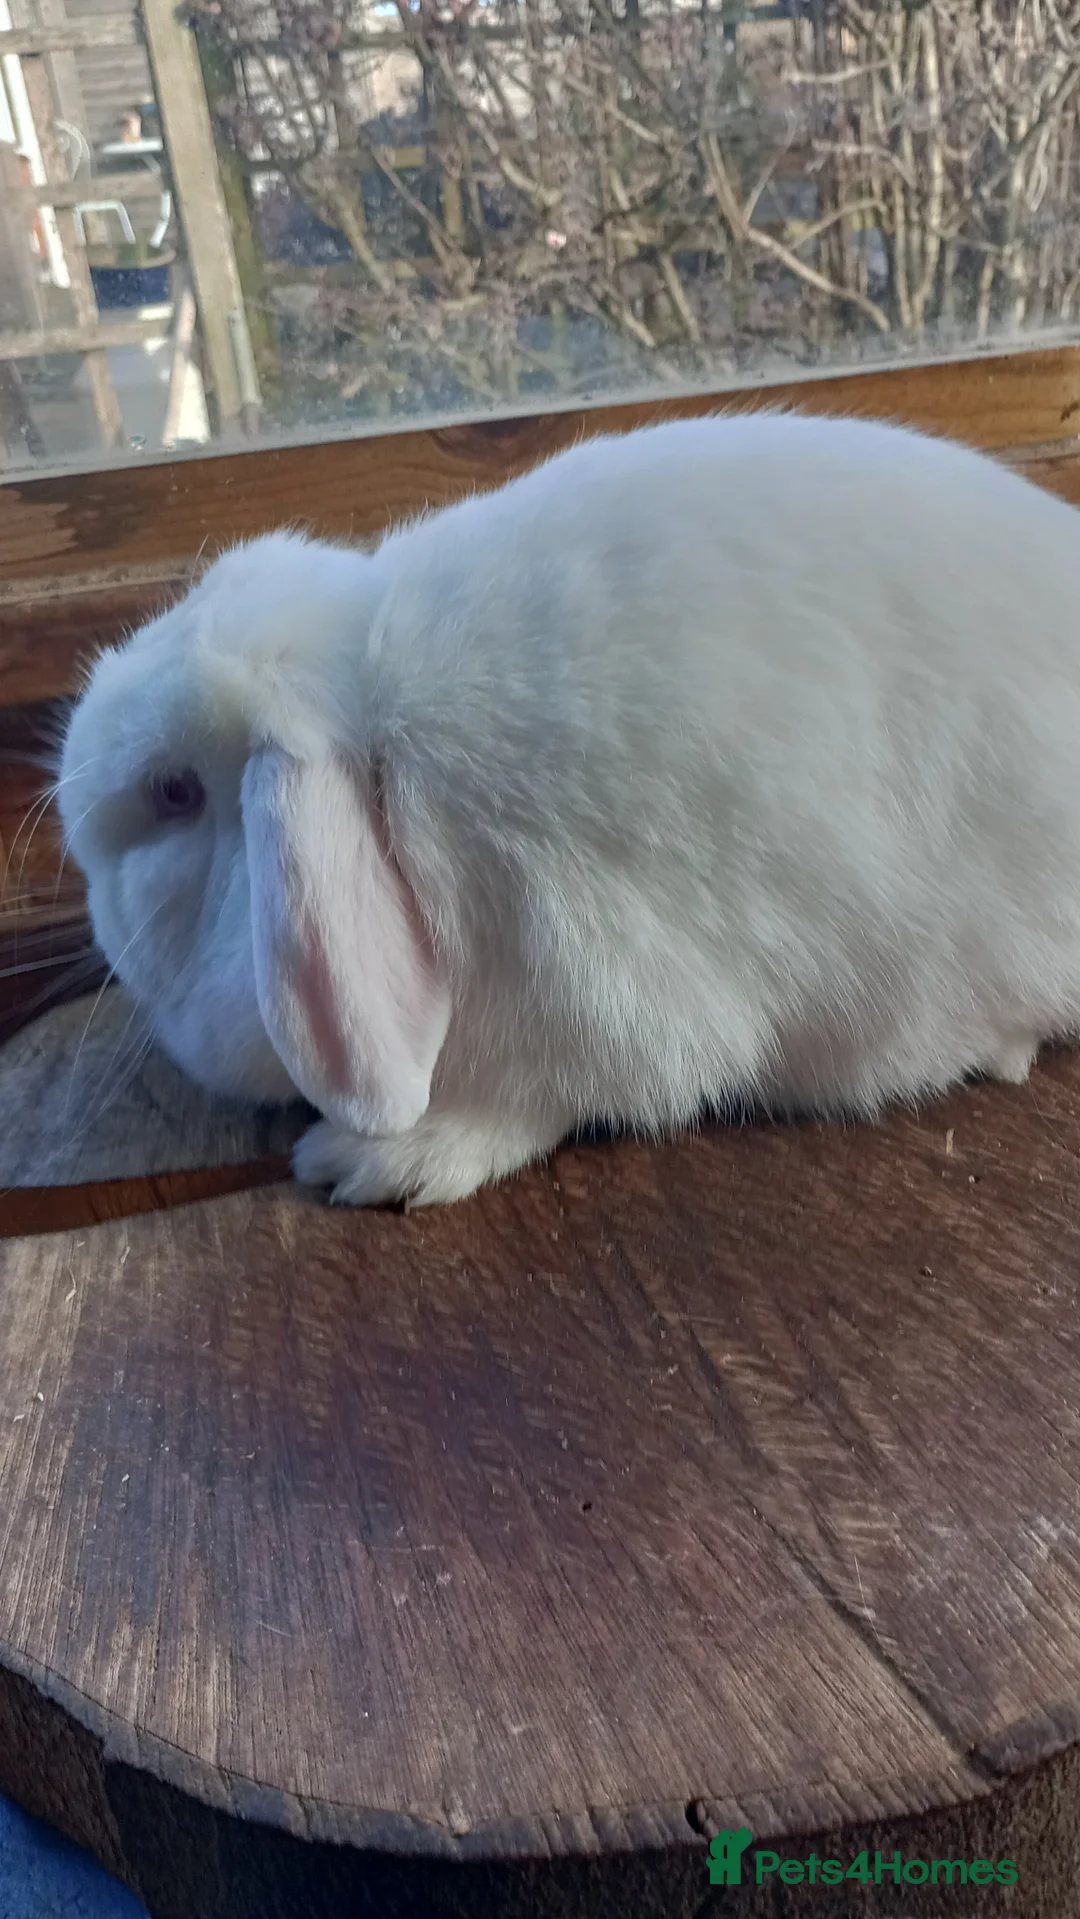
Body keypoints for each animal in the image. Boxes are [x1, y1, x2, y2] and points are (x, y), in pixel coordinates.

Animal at [57, 411, 1080, 1207]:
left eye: (173, 791)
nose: (71, 803)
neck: (386, 758)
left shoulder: (592, 980)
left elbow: (539, 1100)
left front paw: (374, 1161)